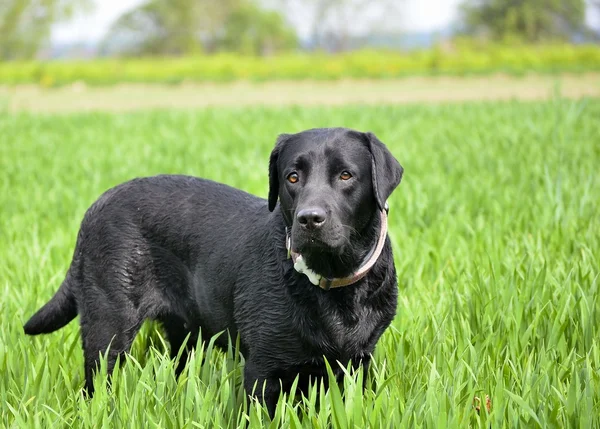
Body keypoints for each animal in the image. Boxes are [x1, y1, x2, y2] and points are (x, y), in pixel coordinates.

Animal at [25, 125, 406, 412]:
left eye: (346, 175)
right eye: (293, 177)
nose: (309, 219)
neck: (332, 282)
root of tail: (96, 205)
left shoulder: (358, 364)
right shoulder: (263, 370)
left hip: (185, 333)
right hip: (109, 329)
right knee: (95, 383)